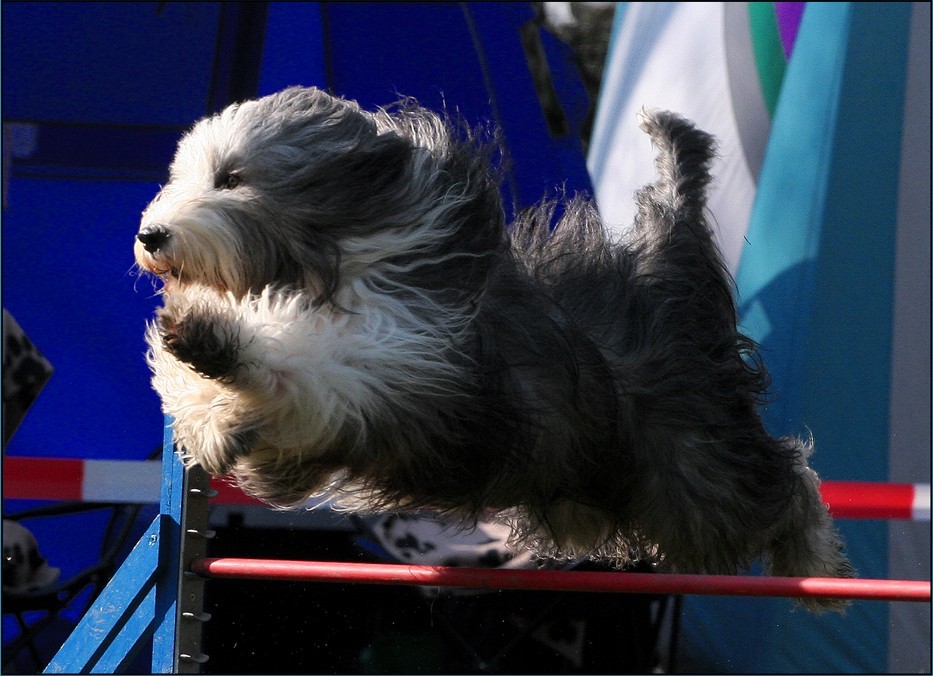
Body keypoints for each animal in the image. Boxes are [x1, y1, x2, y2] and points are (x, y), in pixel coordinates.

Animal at [135, 84, 856, 608]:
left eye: (231, 177)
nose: (150, 234)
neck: (330, 263)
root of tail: (665, 269)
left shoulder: (401, 354)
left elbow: (314, 357)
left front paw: (215, 342)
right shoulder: (310, 435)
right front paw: (205, 398)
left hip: (692, 480)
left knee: (787, 481)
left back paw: (819, 567)